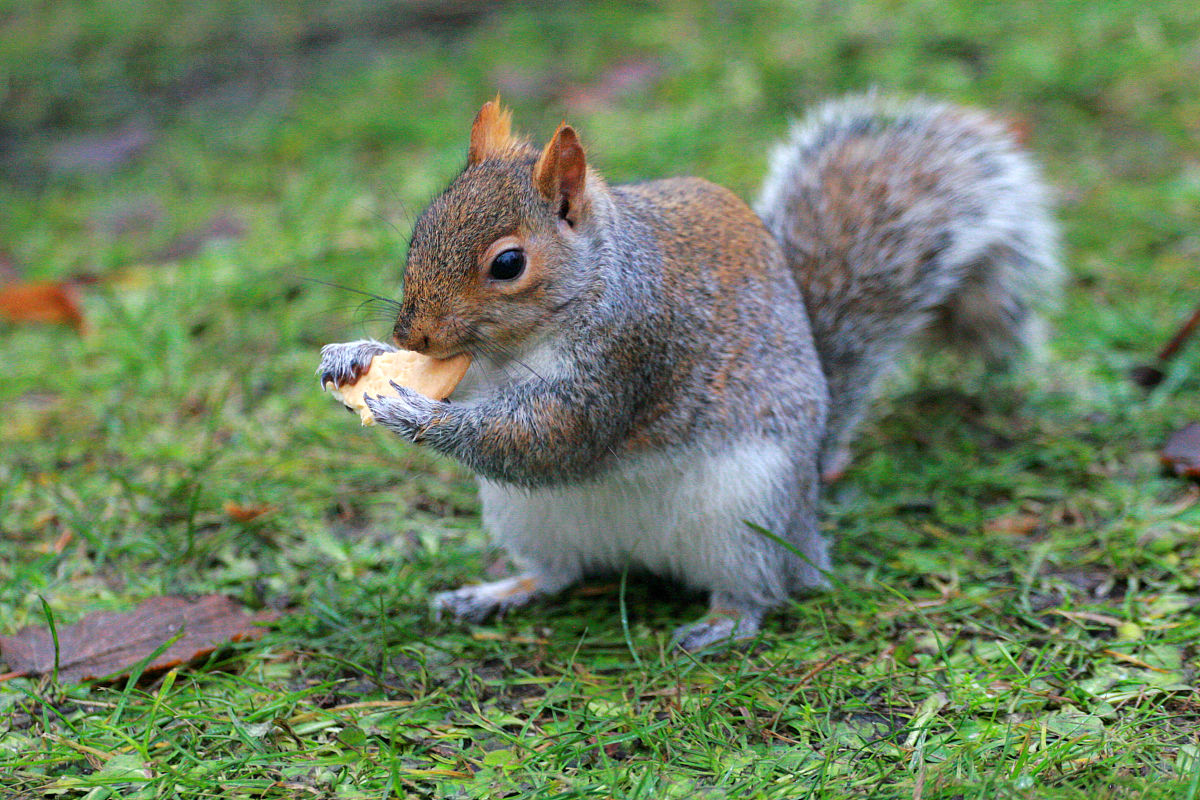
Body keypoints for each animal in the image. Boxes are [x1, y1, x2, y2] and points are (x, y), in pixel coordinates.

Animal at [316, 92, 1060, 652]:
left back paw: (723, 623)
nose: (410, 335)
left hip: (748, 514)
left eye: (508, 264)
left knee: (762, 588)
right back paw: (494, 593)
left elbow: (551, 438)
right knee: (556, 575)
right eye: (421, 228)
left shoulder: (632, 351)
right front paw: (351, 355)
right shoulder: (480, 369)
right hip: (527, 518)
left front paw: (414, 411)